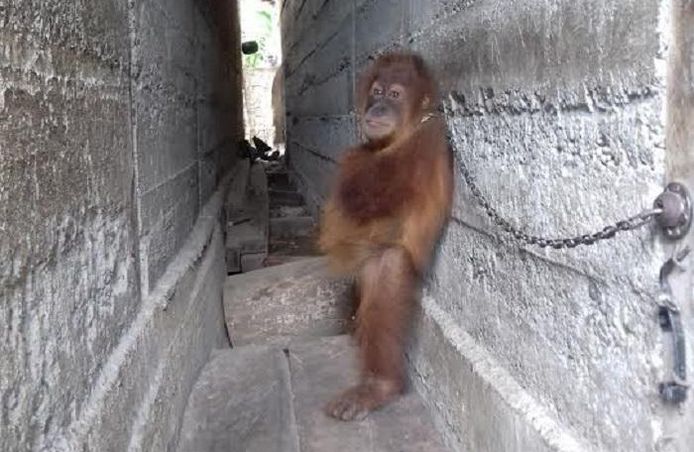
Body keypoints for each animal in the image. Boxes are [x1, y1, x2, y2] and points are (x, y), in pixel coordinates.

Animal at [317, 52, 454, 421]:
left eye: (394, 95)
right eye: (376, 91)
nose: (377, 107)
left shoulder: (428, 137)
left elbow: (364, 191)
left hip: (398, 263)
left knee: (387, 271)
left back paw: (379, 387)